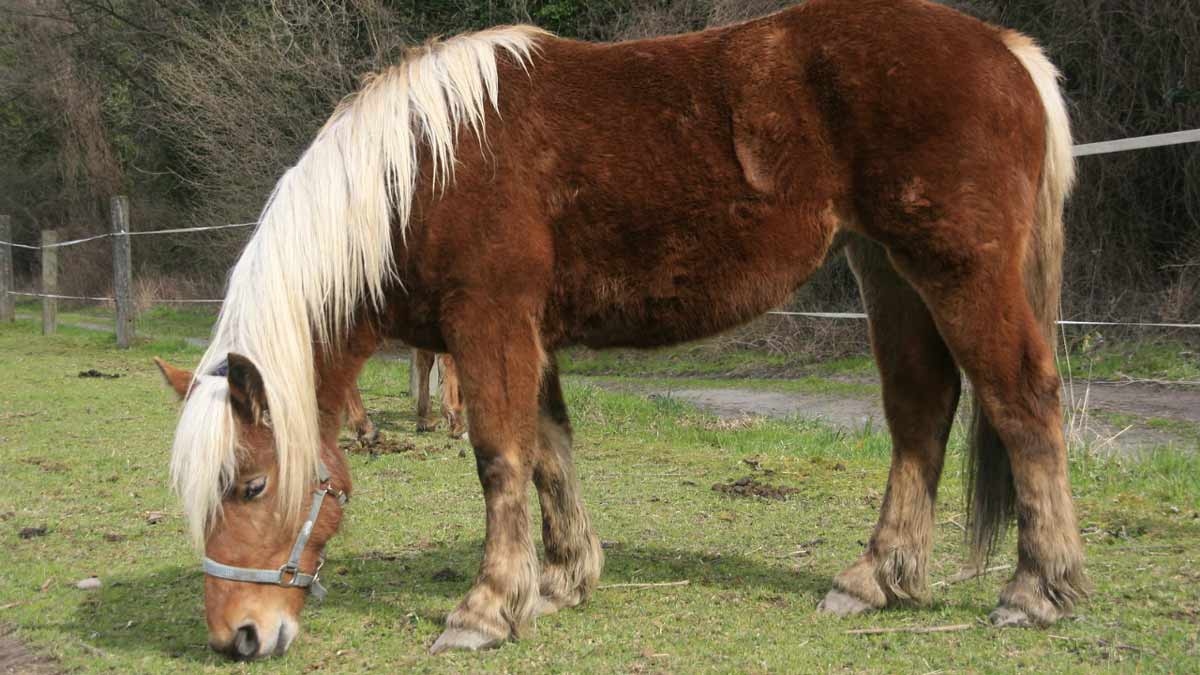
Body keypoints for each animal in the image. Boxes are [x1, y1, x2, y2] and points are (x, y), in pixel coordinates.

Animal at [156, 0, 1083, 659]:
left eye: (250, 486)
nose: (238, 636)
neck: (423, 170)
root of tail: (1005, 48)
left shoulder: (490, 321)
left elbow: (501, 458)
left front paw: (484, 609)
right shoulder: (529, 334)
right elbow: (549, 453)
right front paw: (560, 580)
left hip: (958, 272)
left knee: (1023, 401)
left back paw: (1037, 590)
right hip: (887, 270)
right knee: (921, 410)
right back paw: (874, 580)